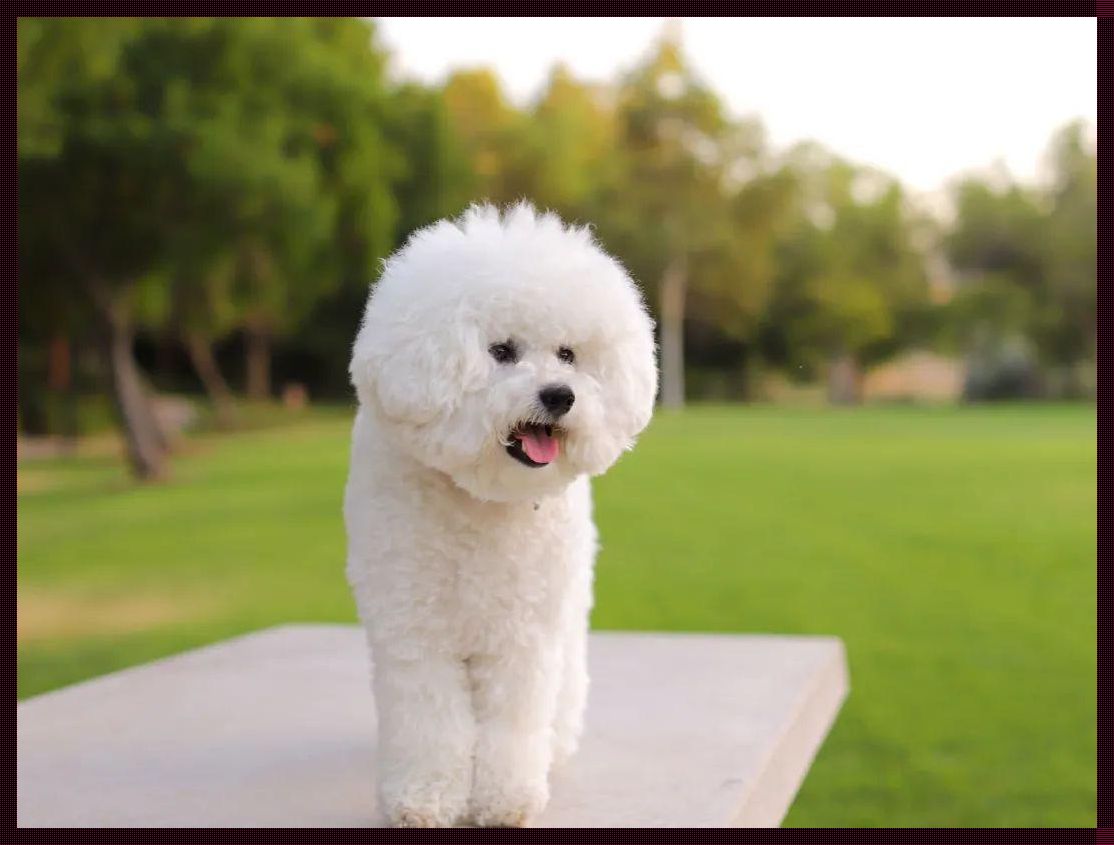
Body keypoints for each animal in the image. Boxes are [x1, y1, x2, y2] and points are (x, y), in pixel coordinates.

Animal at [343, 203, 655, 828]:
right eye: (502, 351)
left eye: (568, 354)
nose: (560, 395)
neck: (480, 503)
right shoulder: (414, 627)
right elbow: (428, 722)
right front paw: (424, 797)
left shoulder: (524, 633)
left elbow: (513, 720)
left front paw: (505, 799)